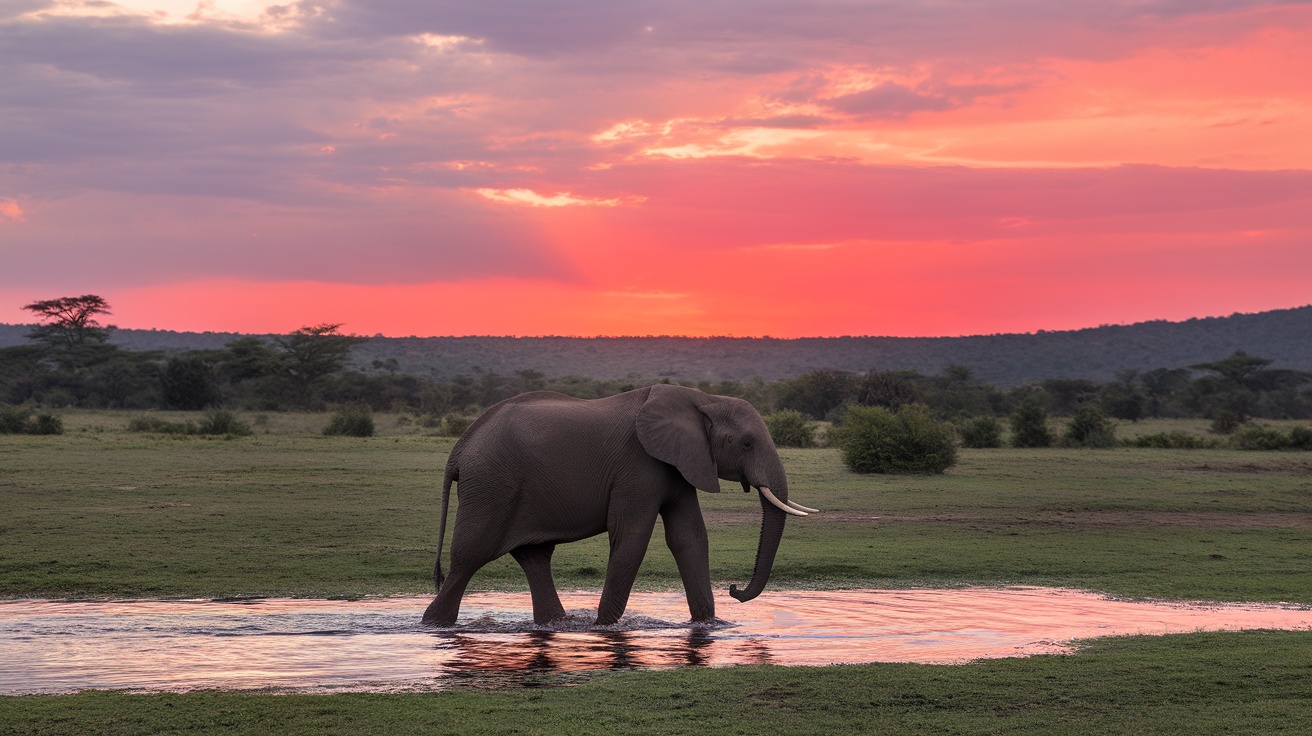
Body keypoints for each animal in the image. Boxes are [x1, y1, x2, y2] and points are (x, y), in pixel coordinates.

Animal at [419, 385, 813, 624]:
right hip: (491, 487)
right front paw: (604, 627)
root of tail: (459, 449)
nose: (734, 589)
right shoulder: (637, 466)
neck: (702, 398)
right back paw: (434, 625)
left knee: (534, 557)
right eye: (746, 444)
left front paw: (708, 625)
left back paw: (556, 624)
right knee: (469, 558)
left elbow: (689, 537)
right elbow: (632, 538)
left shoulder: (680, 463)